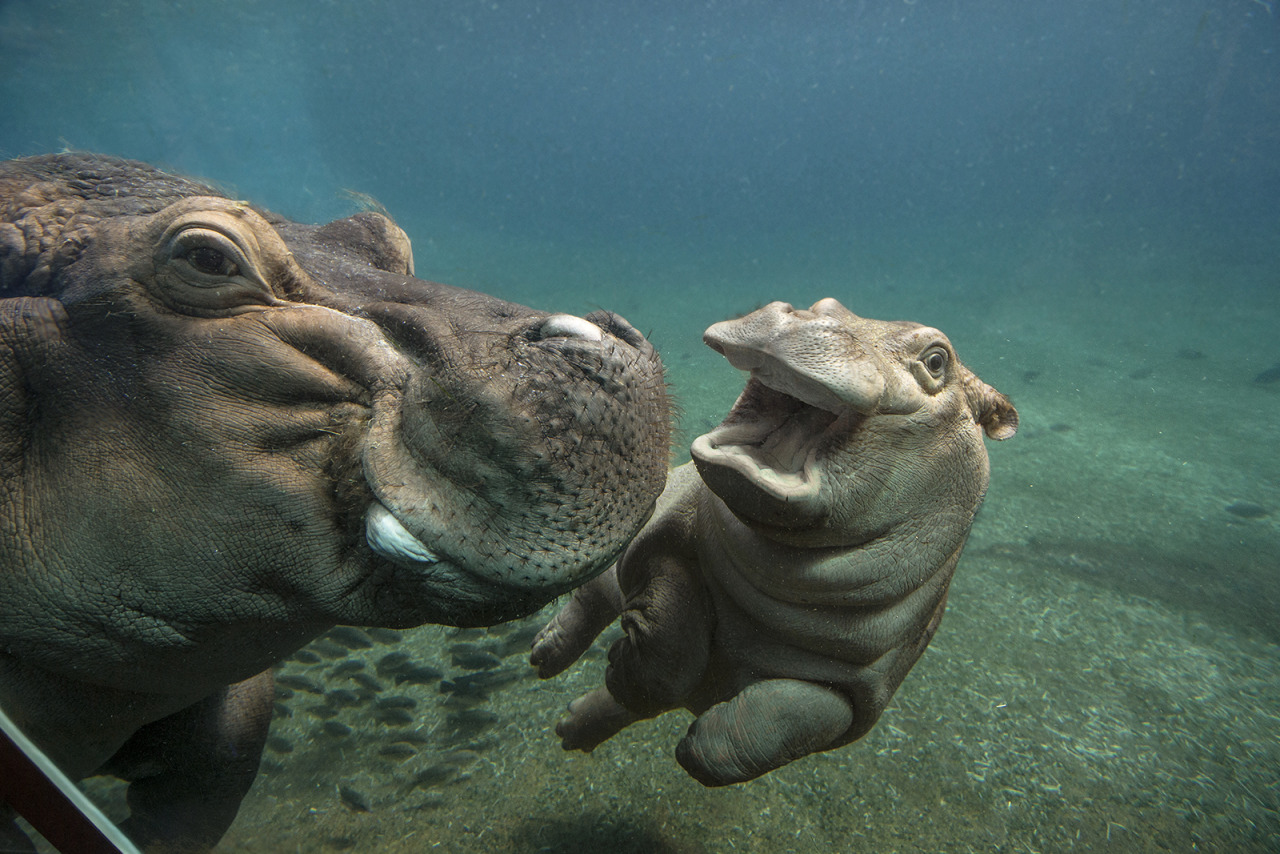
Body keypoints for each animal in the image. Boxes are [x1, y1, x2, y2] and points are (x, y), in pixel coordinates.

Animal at [532, 298, 1017, 786]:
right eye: (826, 303)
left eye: (937, 361)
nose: (805, 316)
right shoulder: (667, 541)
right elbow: (670, 645)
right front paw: (622, 662)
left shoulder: (861, 692)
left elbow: (789, 719)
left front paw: (690, 742)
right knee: (594, 595)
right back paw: (545, 656)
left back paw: (570, 727)